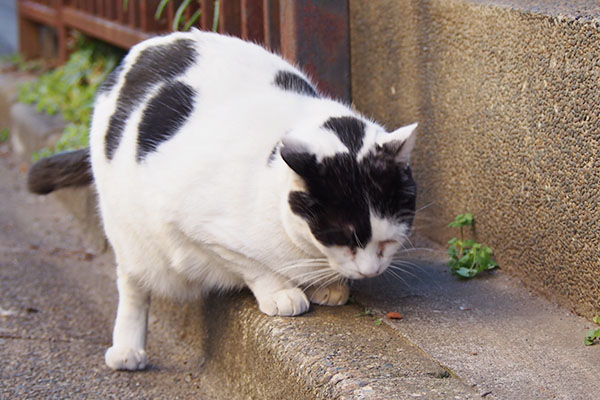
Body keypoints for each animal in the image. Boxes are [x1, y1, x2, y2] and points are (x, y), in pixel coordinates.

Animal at [27, 29, 418, 370]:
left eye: (388, 241)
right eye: (341, 236)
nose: (370, 271)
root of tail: (146, 46)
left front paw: (328, 285)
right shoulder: (195, 227)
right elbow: (252, 264)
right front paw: (282, 292)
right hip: (128, 231)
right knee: (132, 283)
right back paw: (127, 350)